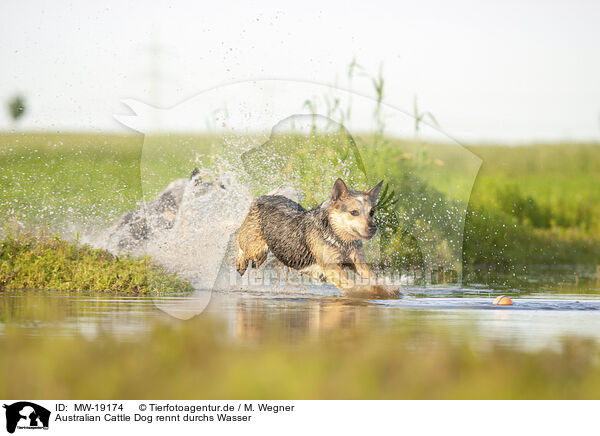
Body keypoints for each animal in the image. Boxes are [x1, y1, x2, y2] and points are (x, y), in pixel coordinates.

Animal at [237, 179, 400, 298]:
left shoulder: (358, 262)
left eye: (372, 212)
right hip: (255, 247)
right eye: (354, 212)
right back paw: (240, 264)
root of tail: (263, 197)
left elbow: (371, 276)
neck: (341, 240)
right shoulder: (331, 267)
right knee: (241, 245)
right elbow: (351, 284)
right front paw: (369, 292)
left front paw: (387, 290)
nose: (373, 228)